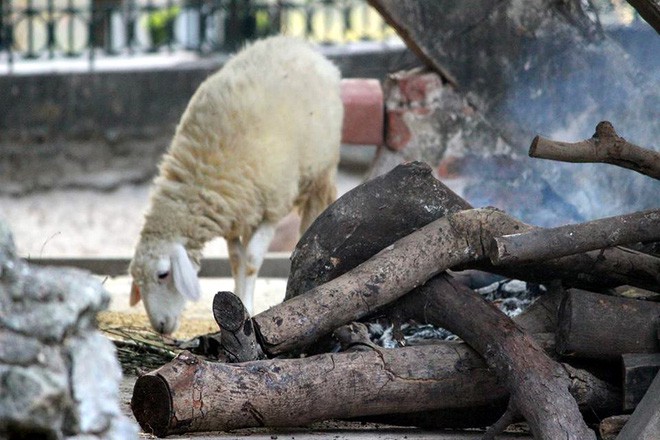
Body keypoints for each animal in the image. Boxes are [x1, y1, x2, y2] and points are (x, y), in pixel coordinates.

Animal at [130, 37, 346, 334]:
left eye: (163, 274)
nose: (160, 327)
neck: (202, 174)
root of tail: (296, 43)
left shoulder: (272, 207)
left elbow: (253, 260)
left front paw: (249, 309)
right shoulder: (231, 217)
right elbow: (236, 261)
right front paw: (238, 302)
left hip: (319, 171)